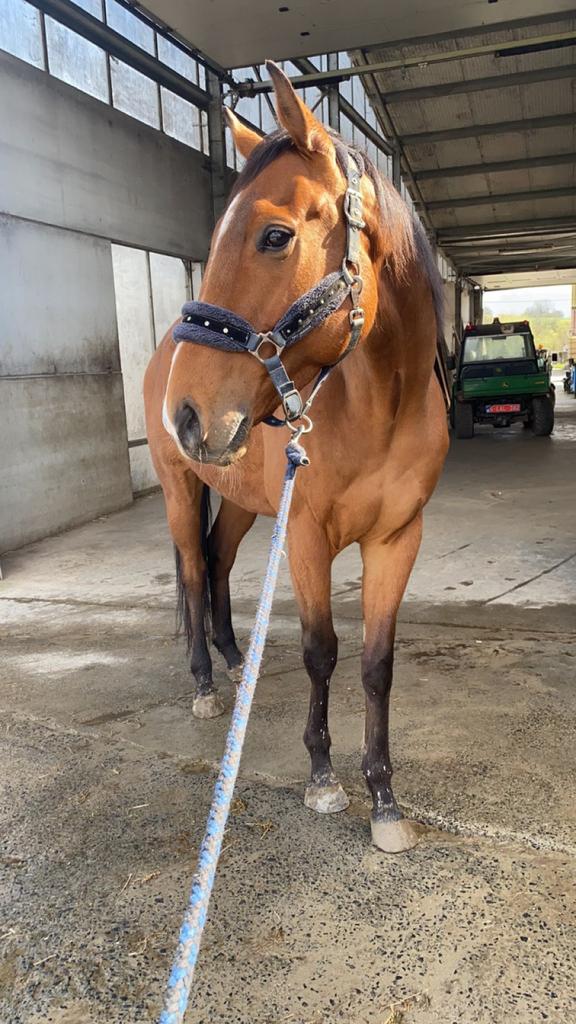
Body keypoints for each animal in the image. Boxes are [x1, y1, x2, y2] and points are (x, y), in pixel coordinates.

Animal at [144, 61, 449, 853]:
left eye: (275, 236)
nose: (187, 413)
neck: (379, 409)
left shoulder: (397, 538)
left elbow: (376, 663)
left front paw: (384, 798)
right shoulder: (308, 536)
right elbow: (322, 650)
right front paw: (322, 778)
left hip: (244, 502)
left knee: (218, 561)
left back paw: (232, 659)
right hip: (180, 489)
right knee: (194, 569)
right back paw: (206, 684)